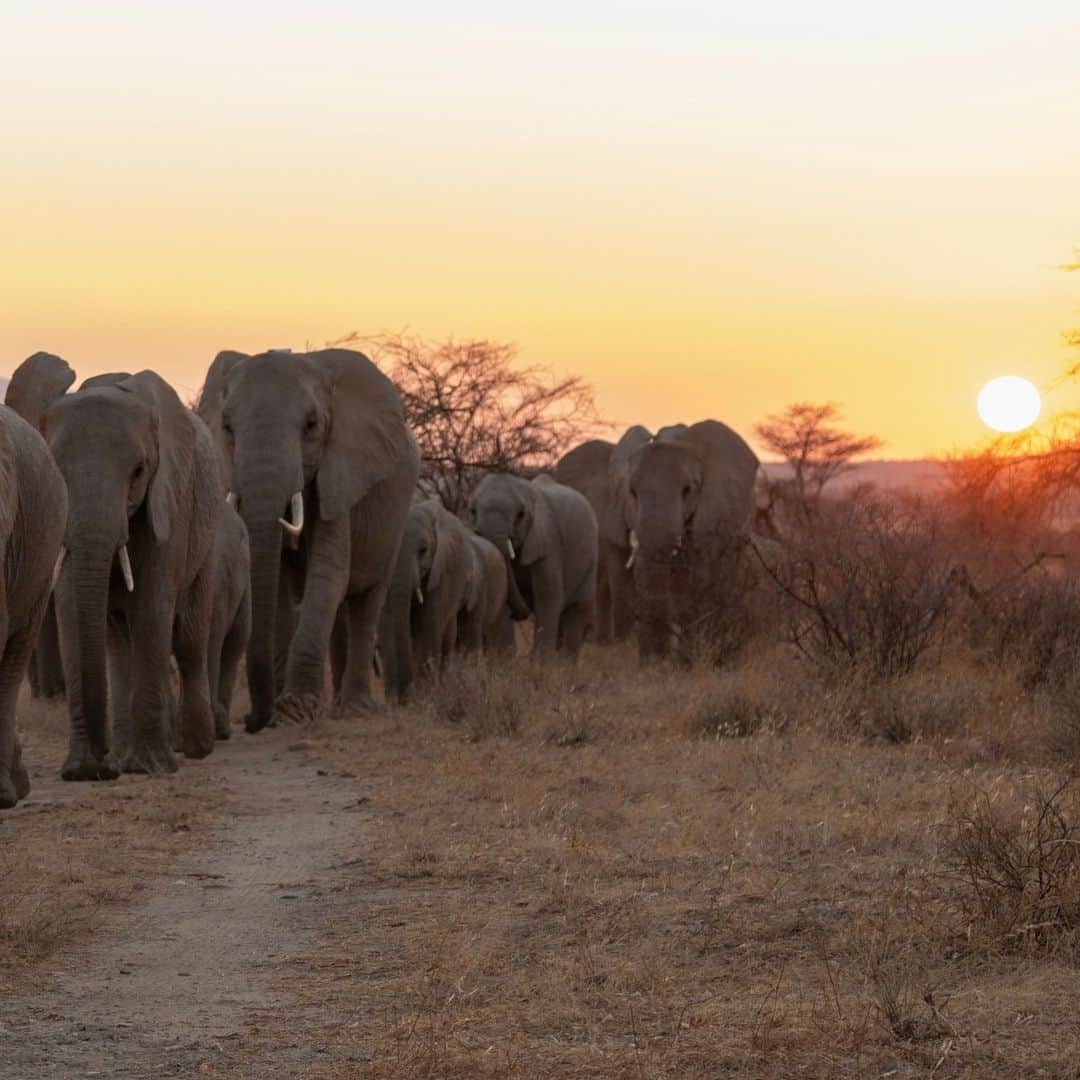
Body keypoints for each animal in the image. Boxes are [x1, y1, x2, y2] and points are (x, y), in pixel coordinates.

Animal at [7, 352, 223, 777]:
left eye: (138, 471)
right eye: (57, 471)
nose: (101, 767)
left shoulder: (169, 502)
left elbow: (154, 607)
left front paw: (151, 767)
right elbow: (73, 609)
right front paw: (84, 770)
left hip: (206, 534)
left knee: (189, 636)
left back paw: (194, 748)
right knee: (120, 644)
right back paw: (128, 752)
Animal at [200, 349, 419, 730]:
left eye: (312, 425)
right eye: (226, 428)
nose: (251, 720)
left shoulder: (340, 474)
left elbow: (328, 572)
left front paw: (296, 708)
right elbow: (277, 584)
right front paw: (283, 709)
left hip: (395, 520)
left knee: (367, 601)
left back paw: (354, 709)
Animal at [466, 473, 596, 656]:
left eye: (520, 514)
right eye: (472, 511)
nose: (518, 615)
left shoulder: (548, 543)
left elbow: (548, 596)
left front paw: (540, 662)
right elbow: (502, 598)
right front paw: (504, 658)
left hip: (591, 560)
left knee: (577, 609)